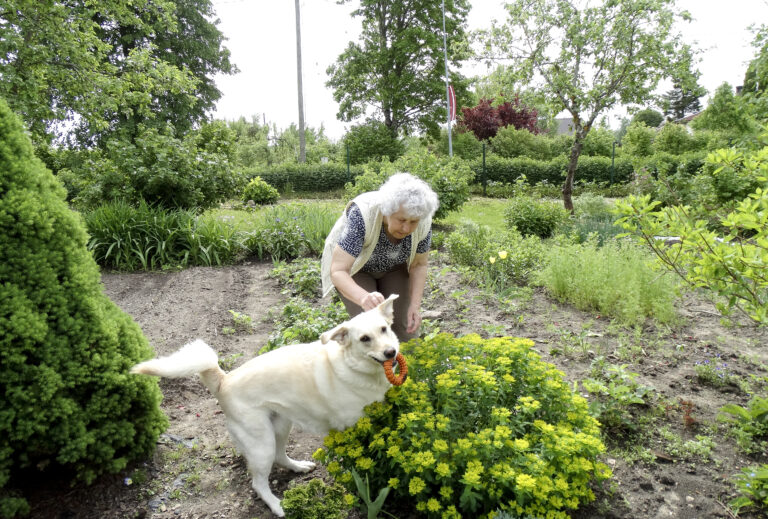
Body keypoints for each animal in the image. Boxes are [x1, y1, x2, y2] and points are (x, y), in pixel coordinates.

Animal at [130, 294, 402, 516]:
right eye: (364, 339)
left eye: (384, 329)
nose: (391, 352)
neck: (354, 368)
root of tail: (224, 379)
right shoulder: (348, 429)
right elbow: (355, 461)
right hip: (261, 444)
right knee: (258, 483)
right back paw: (278, 506)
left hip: (280, 426)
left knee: (281, 457)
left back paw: (298, 467)